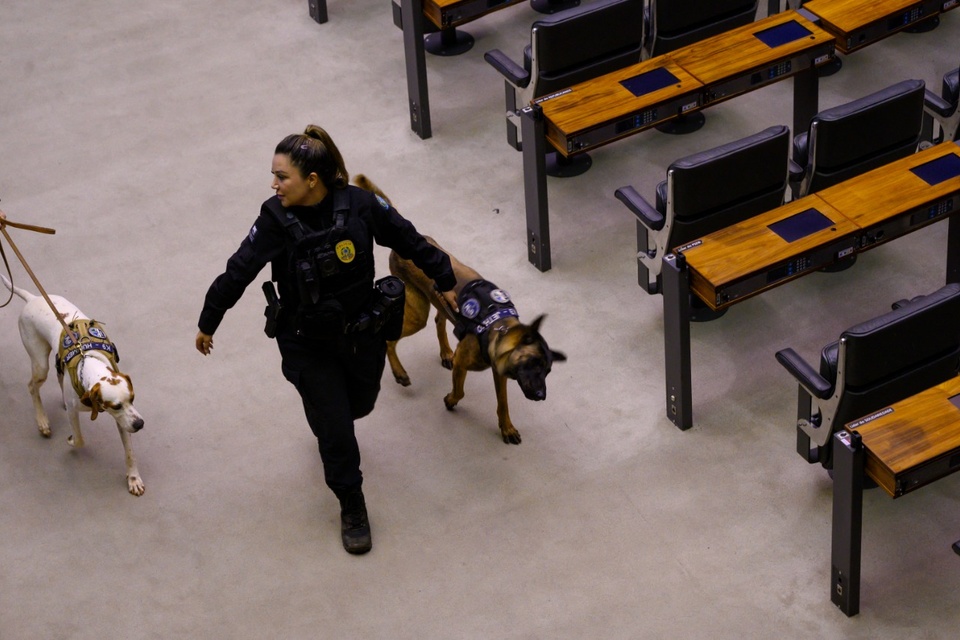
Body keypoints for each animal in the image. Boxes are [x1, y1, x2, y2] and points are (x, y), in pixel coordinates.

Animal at [2, 276, 146, 496]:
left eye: (132, 398)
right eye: (116, 406)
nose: (140, 424)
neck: (90, 364)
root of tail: (33, 298)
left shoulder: (124, 420)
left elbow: (129, 452)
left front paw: (133, 478)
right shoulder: (76, 412)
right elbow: (79, 439)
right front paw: (70, 440)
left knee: (58, 375)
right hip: (39, 363)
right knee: (32, 387)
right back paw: (42, 421)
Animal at [350, 176, 564, 444]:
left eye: (547, 370)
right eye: (534, 365)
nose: (541, 396)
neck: (497, 328)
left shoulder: (500, 373)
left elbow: (503, 403)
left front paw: (506, 427)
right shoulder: (465, 364)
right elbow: (460, 391)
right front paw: (451, 400)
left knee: (439, 320)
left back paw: (444, 352)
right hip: (417, 313)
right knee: (391, 339)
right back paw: (400, 372)